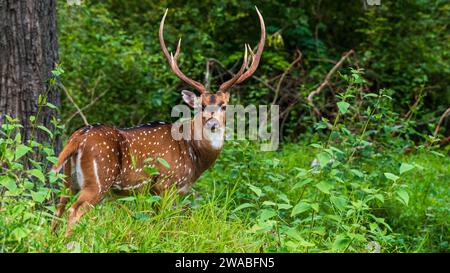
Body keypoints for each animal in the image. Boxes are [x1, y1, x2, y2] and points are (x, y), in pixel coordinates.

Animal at [51, 6, 266, 236]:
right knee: (74, 211)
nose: (212, 123)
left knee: (58, 208)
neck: (194, 156)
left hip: (67, 178)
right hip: (99, 179)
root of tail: (77, 138)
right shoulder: (167, 183)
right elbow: (165, 223)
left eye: (224, 105)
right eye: (200, 105)